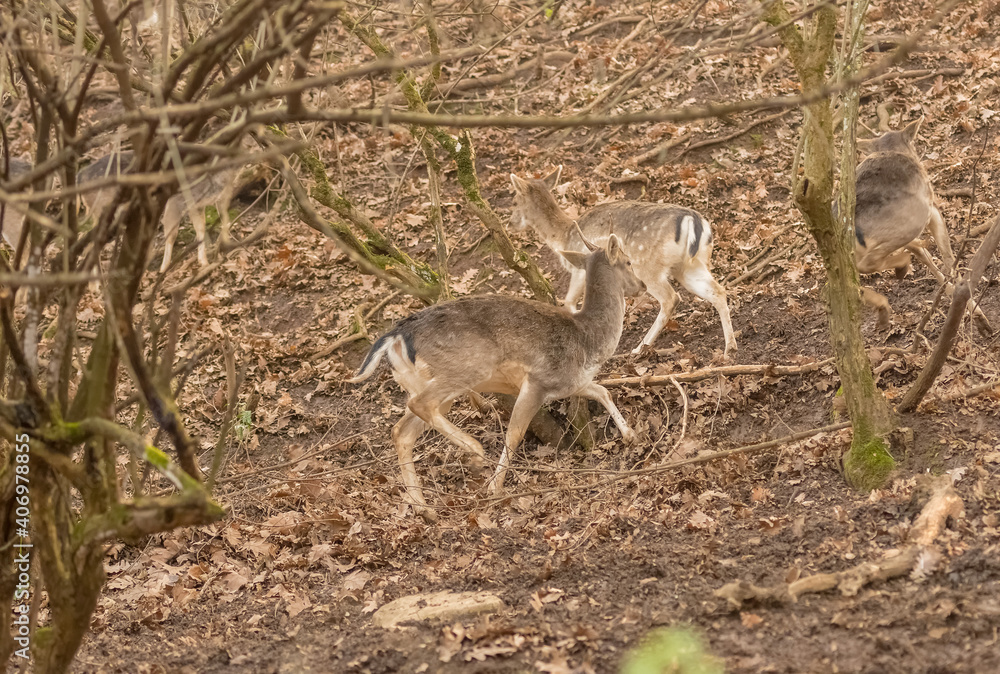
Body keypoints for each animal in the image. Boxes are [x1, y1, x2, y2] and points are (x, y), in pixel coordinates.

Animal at [348, 234, 645, 522]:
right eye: (629, 262)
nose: (641, 284)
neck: (589, 341)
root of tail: (395, 337)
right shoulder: (538, 381)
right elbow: (514, 434)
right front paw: (495, 487)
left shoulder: (572, 383)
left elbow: (603, 390)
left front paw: (630, 435)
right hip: (468, 367)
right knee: (420, 405)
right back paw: (475, 450)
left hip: (420, 383)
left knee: (401, 431)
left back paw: (424, 508)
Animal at [509, 167, 737, 358]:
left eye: (515, 200)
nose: (511, 223)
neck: (564, 236)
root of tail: (694, 222)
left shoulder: (581, 267)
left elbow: (570, 302)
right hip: (691, 265)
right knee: (718, 291)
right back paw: (729, 349)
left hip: (648, 266)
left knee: (671, 298)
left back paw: (639, 348)